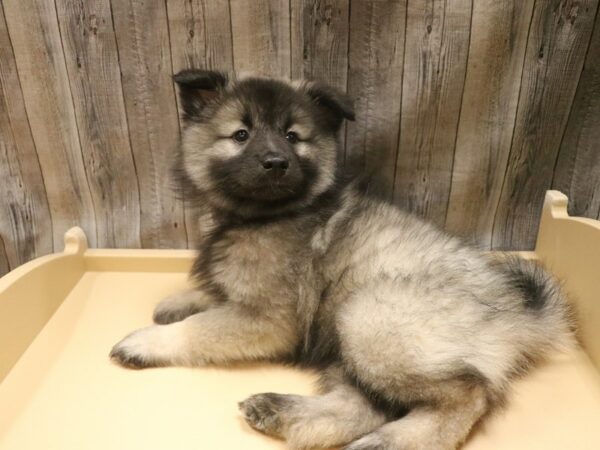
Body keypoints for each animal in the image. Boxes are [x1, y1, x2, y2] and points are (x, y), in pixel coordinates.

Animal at [110, 70, 576, 450]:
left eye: (293, 136)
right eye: (241, 134)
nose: (276, 162)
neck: (266, 215)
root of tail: (519, 310)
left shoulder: (268, 320)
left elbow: (202, 328)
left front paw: (147, 341)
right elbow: (213, 296)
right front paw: (180, 301)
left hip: (369, 317)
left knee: (467, 393)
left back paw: (393, 441)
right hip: (345, 343)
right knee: (364, 407)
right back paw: (280, 412)